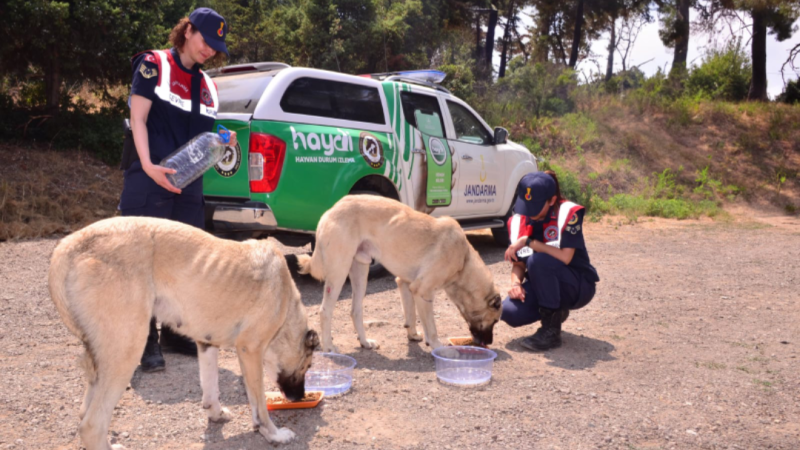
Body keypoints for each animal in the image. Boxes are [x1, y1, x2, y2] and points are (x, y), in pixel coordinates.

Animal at [47, 216, 318, 448]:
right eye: (307, 367)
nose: (299, 397)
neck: (285, 299)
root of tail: (69, 245)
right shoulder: (249, 351)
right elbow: (259, 404)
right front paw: (272, 434)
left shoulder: (206, 344)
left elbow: (211, 386)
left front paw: (215, 413)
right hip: (126, 352)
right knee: (92, 425)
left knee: (86, 414)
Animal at [296, 195, 504, 354]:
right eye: (494, 321)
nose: (490, 342)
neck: (464, 260)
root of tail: (331, 210)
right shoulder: (423, 291)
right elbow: (432, 328)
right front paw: (438, 347)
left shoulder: (406, 284)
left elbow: (411, 314)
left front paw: (412, 334)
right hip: (339, 273)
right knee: (325, 311)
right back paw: (329, 347)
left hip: (360, 271)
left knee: (355, 310)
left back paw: (365, 342)